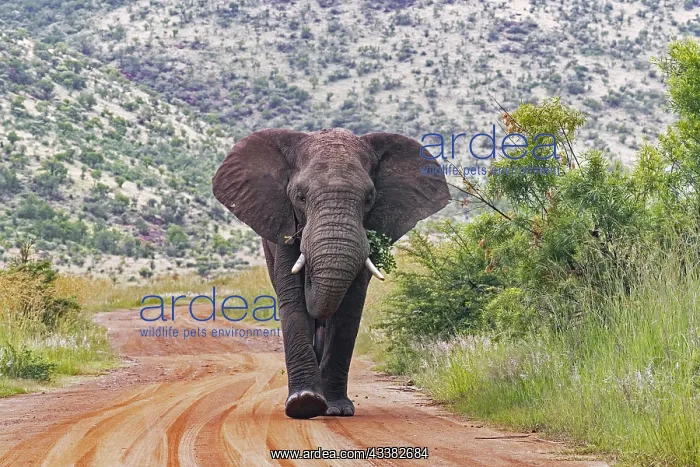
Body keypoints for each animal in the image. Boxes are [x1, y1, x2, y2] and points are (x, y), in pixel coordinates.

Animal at [212, 128, 449, 419]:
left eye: (369, 199)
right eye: (300, 197)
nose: (311, 277)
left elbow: (349, 308)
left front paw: (336, 409)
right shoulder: (284, 225)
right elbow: (293, 300)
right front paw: (304, 404)